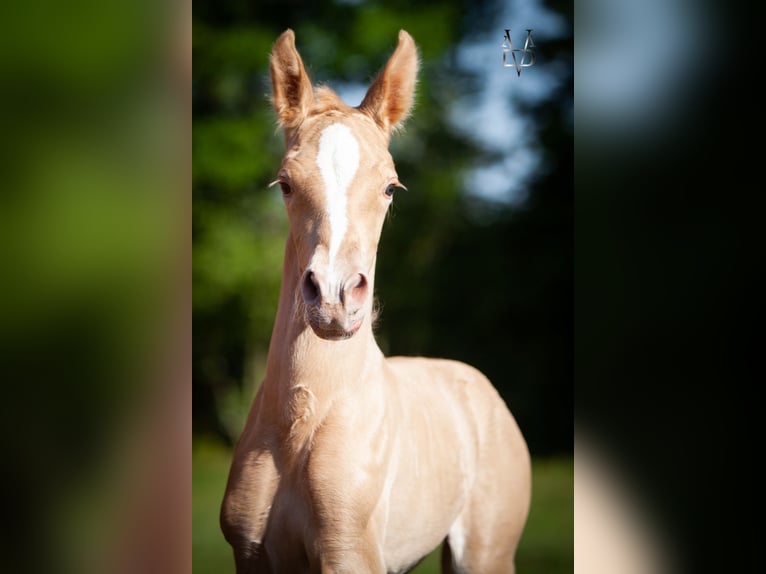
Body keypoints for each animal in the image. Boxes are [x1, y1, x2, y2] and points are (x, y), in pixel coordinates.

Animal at [220, 29, 531, 574]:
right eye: (285, 184)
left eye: (390, 186)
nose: (334, 298)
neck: (302, 423)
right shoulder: (252, 555)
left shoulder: (349, 555)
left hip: (485, 554)